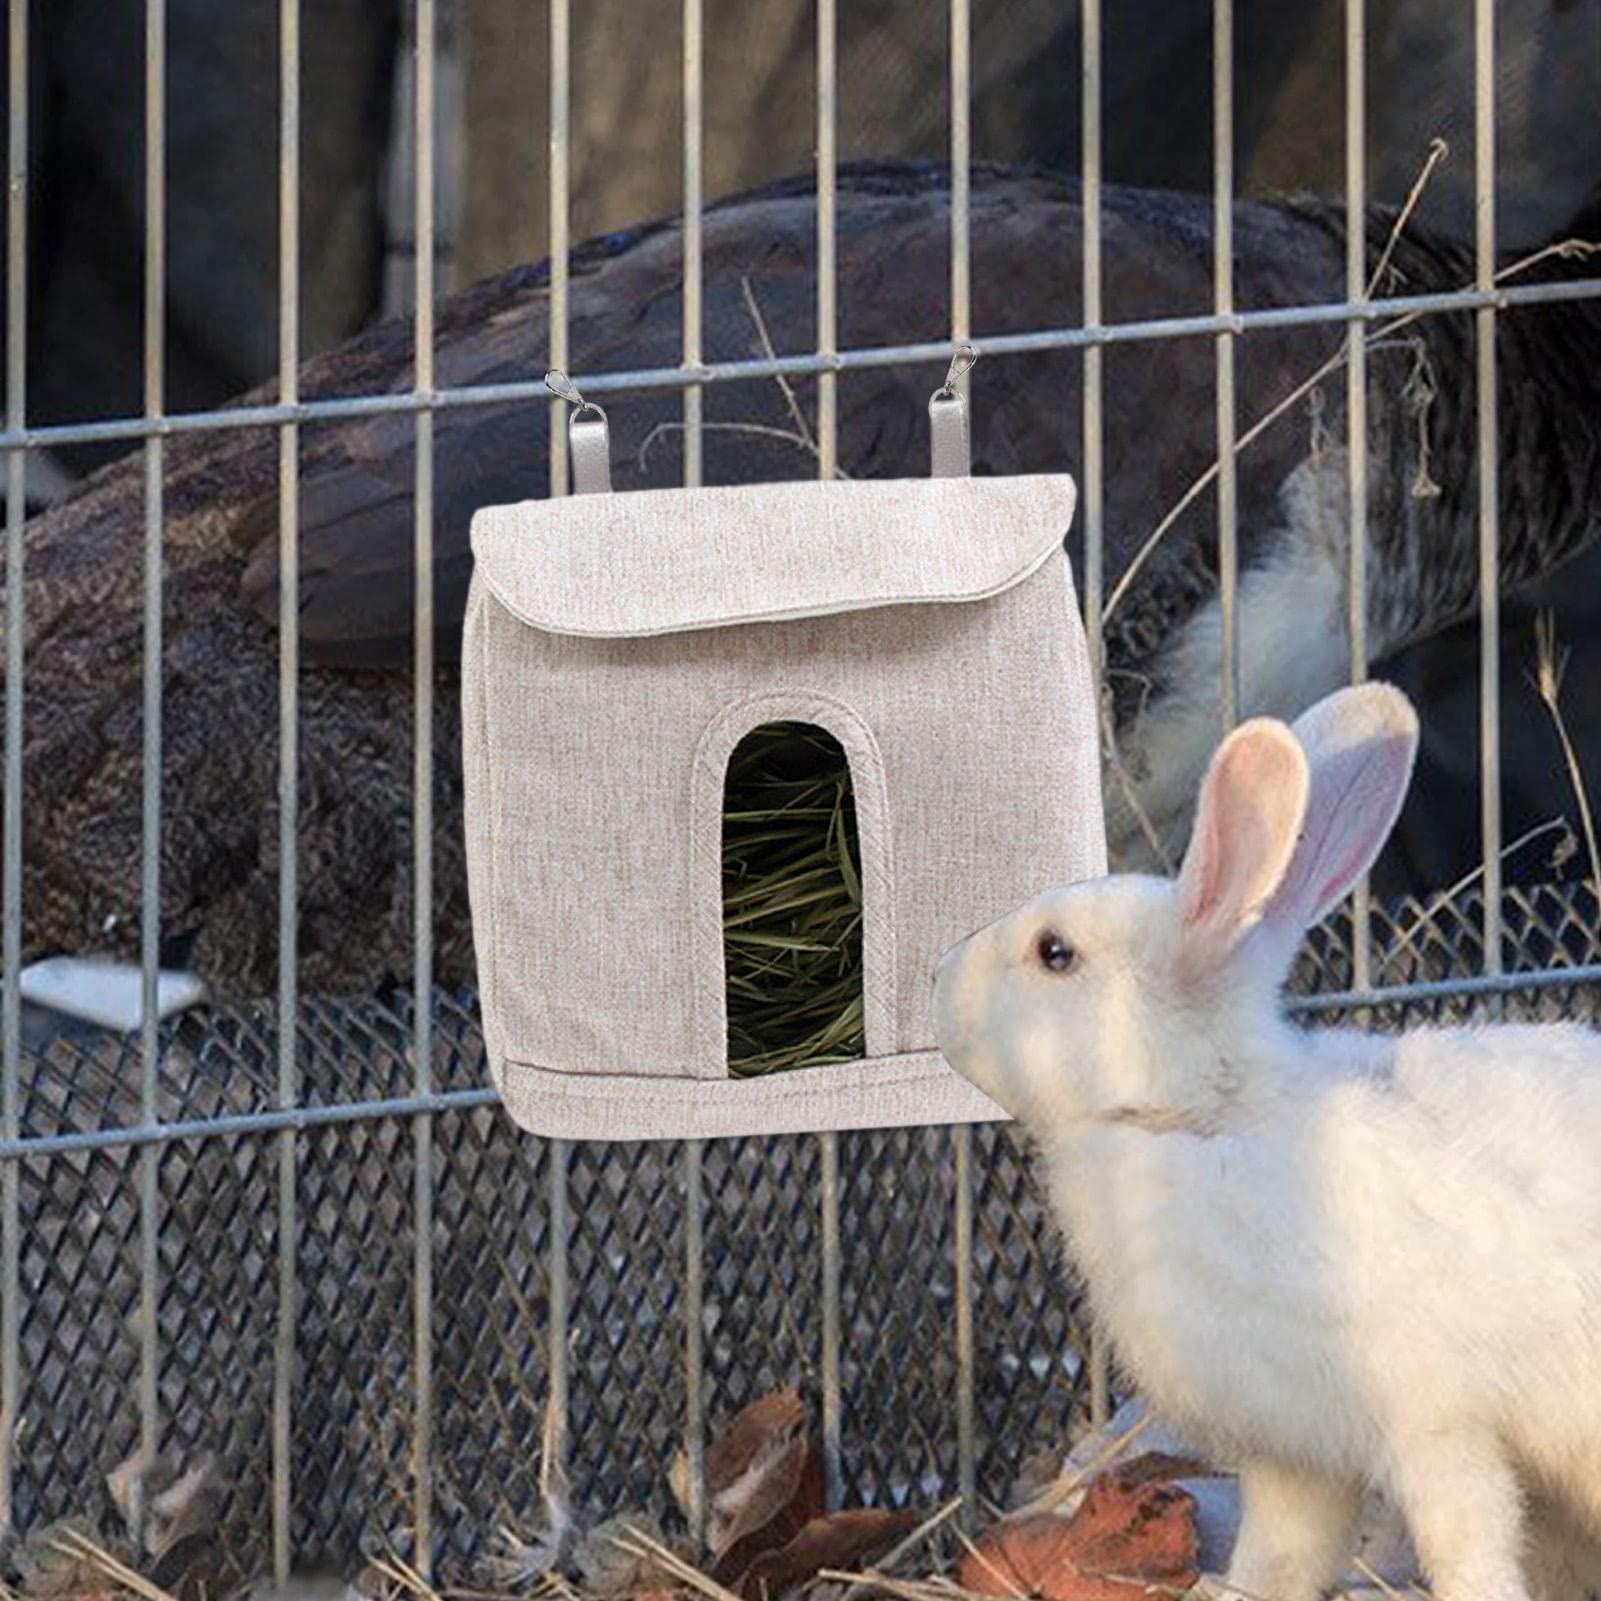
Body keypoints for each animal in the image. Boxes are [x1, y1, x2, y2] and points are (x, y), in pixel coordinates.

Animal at [931, 682, 1601, 1601]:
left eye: (1054, 952)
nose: (936, 981)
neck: (1207, 1121)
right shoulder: (1298, 1457)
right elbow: (1278, 1556)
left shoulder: (1438, 1425)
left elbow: (1469, 1545)